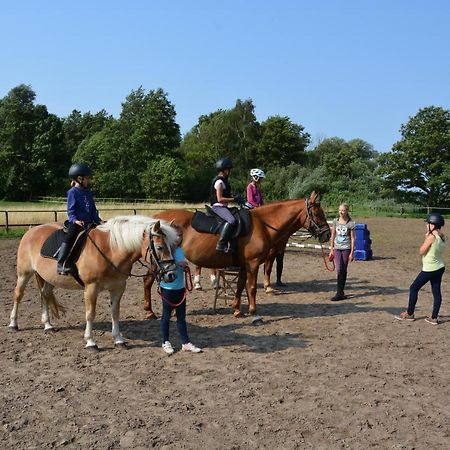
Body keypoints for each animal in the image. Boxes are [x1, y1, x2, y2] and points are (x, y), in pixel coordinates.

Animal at [8, 216, 178, 350]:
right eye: (159, 247)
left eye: (173, 247)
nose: (171, 275)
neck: (111, 249)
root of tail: (31, 230)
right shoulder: (91, 288)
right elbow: (90, 314)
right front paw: (91, 342)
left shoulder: (118, 287)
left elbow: (115, 313)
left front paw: (118, 340)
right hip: (24, 273)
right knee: (18, 295)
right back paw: (13, 324)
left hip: (50, 277)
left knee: (44, 295)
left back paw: (48, 326)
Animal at [144, 192, 330, 318]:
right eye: (318, 214)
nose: (327, 234)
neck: (264, 224)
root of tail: (155, 219)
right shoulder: (253, 263)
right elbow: (252, 287)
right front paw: (253, 310)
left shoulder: (243, 265)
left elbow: (240, 286)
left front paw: (236, 309)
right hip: (159, 261)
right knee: (147, 281)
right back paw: (150, 312)